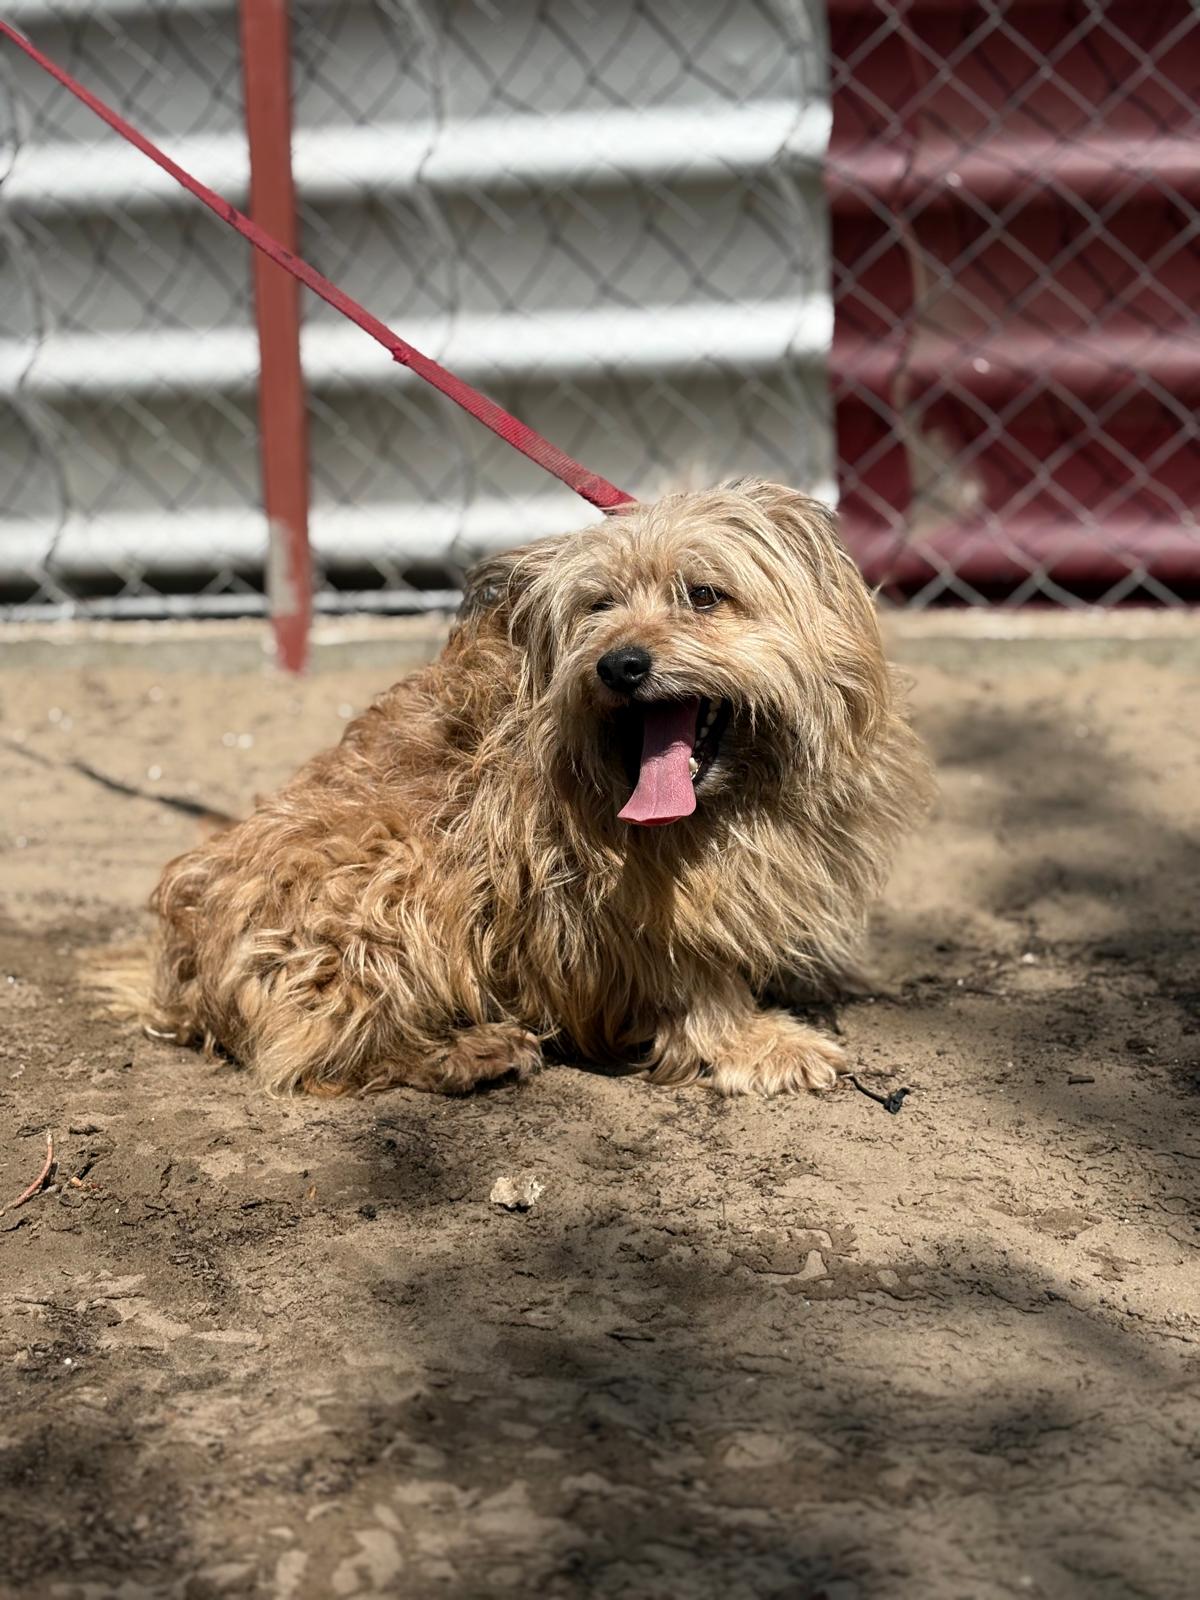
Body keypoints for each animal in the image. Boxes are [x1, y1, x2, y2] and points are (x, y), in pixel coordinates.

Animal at [143, 480, 931, 1097]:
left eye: (704, 595)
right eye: (599, 605)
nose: (619, 665)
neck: (727, 803)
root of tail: (186, 978)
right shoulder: (603, 905)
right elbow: (689, 972)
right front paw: (758, 1042)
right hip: (384, 872)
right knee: (314, 1051)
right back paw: (466, 1051)